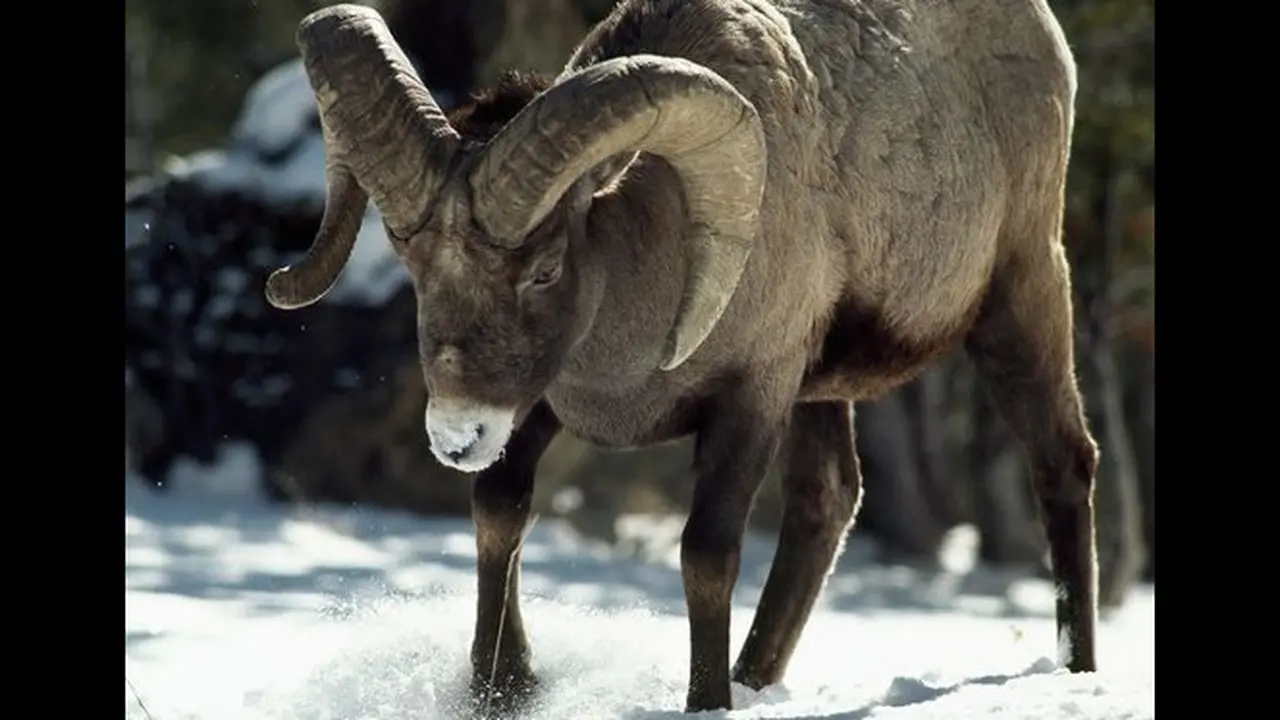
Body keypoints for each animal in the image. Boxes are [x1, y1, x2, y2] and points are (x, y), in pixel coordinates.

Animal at [264, 0, 1097, 713]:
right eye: (412, 261)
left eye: (544, 269)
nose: (457, 436)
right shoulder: (540, 408)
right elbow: (499, 515)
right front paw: (502, 688)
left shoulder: (752, 403)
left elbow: (706, 555)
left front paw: (705, 702)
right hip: (824, 394)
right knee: (827, 501)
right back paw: (755, 679)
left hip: (1021, 293)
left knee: (1062, 461)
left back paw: (1077, 668)